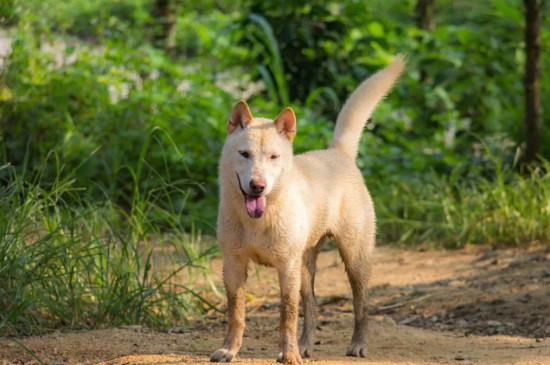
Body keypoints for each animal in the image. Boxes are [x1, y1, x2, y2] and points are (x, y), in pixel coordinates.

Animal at [210, 55, 406, 362]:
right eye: (244, 154)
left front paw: (289, 355)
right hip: (305, 266)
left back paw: (357, 345)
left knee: (361, 304)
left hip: (354, 258)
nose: (258, 186)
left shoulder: (286, 267)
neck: (258, 220)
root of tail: (338, 153)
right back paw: (305, 345)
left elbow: (287, 316)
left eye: (274, 157)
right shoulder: (233, 264)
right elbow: (236, 314)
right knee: (312, 307)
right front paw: (229, 350)